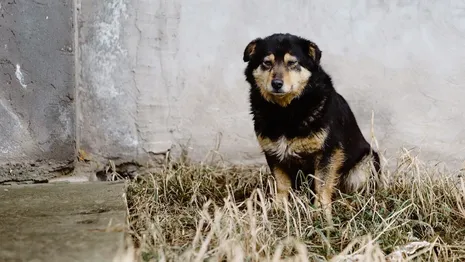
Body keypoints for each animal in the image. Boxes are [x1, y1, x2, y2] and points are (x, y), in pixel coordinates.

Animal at [243, 32, 380, 224]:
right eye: (267, 63)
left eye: (292, 63)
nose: (276, 83)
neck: (286, 111)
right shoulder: (273, 153)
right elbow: (282, 185)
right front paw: (279, 209)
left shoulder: (328, 152)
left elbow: (321, 186)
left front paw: (321, 214)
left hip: (366, 163)